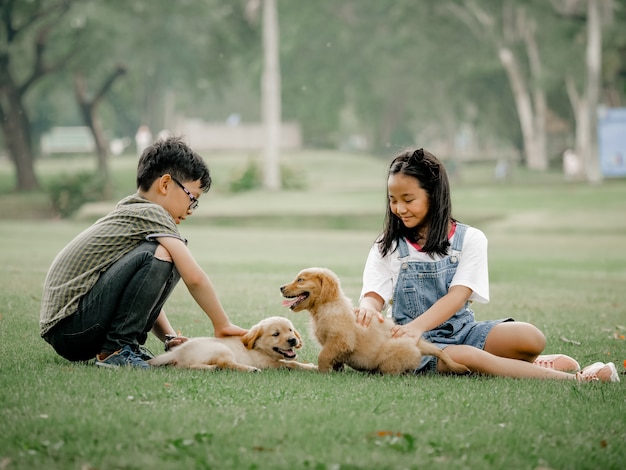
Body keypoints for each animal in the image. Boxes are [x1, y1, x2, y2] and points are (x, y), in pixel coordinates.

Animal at [147, 318, 316, 372]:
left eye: (290, 330)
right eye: (276, 334)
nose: (292, 340)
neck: (260, 349)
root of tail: (177, 352)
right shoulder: (268, 363)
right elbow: (292, 363)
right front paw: (312, 367)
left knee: (184, 366)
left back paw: (210, 368)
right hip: (222, 349)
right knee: (226, 363)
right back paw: (250, 369)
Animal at [280, 268, 466, 374]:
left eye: (300, 280)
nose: (281, 287)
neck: (327, 306)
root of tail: (418, 344)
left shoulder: (340, 340)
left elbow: (323, 356)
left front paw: (323, 372)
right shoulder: (336, 345)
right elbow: (334, 359)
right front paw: (337, 371)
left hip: (391, 354)